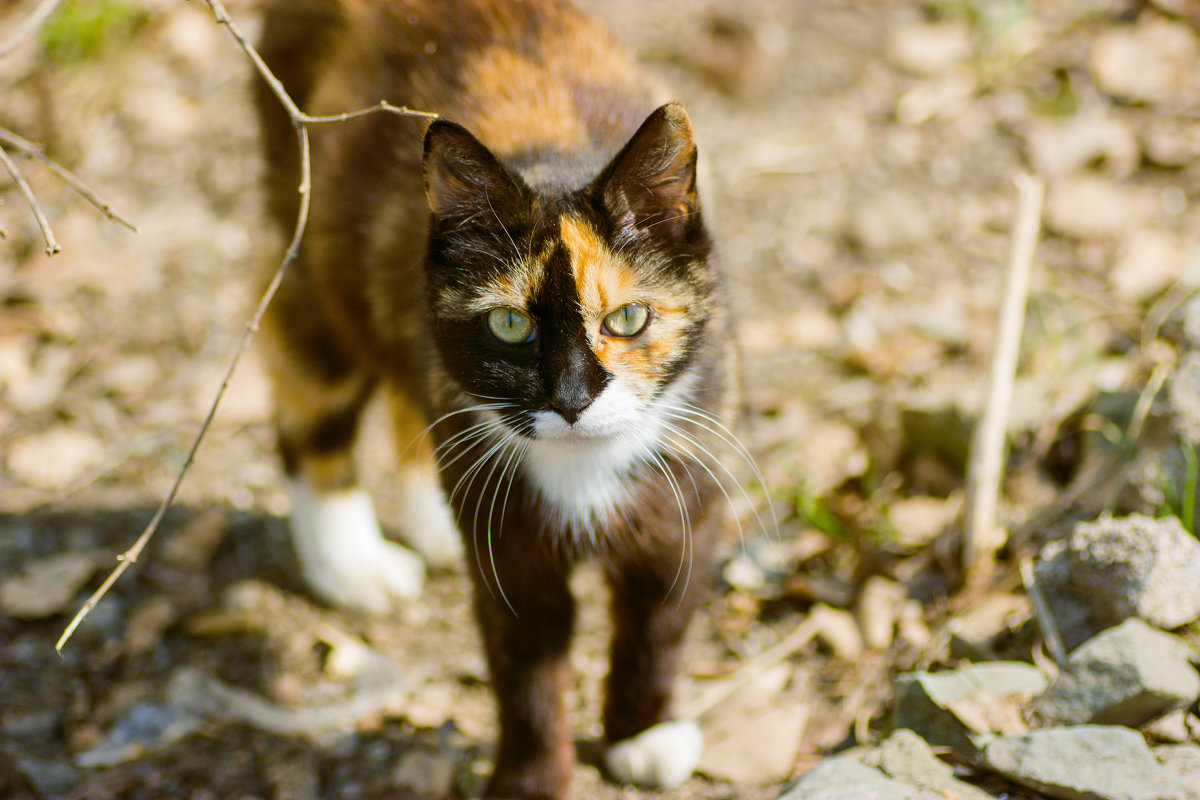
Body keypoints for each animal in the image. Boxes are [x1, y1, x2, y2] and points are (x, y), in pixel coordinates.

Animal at [256, 3, 734, 796]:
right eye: (511, 325)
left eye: (628, 318)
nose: (572, 398)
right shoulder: (511, 556)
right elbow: (525, 673)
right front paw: (531, 776)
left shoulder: (684, 504)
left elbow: (658, 626)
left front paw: (645, 731)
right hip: (306, 241)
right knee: (313, 400)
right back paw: (350, 561)